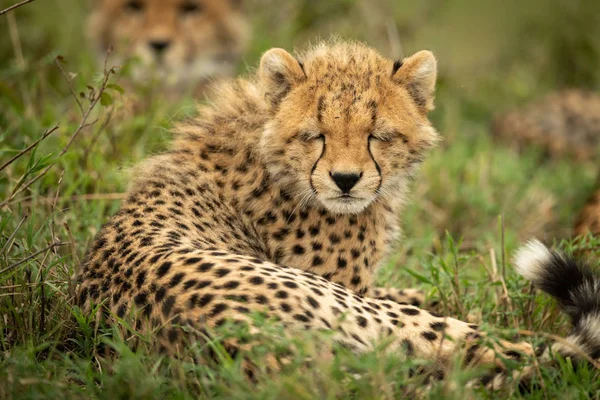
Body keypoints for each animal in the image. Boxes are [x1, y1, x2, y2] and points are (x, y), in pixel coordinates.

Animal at [76, 42, 600, 390]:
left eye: (378, 135)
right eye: (316, 135)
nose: (345, 180)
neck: (268, 150)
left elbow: (416, 289)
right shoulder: (354, 290)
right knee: (512, 352)